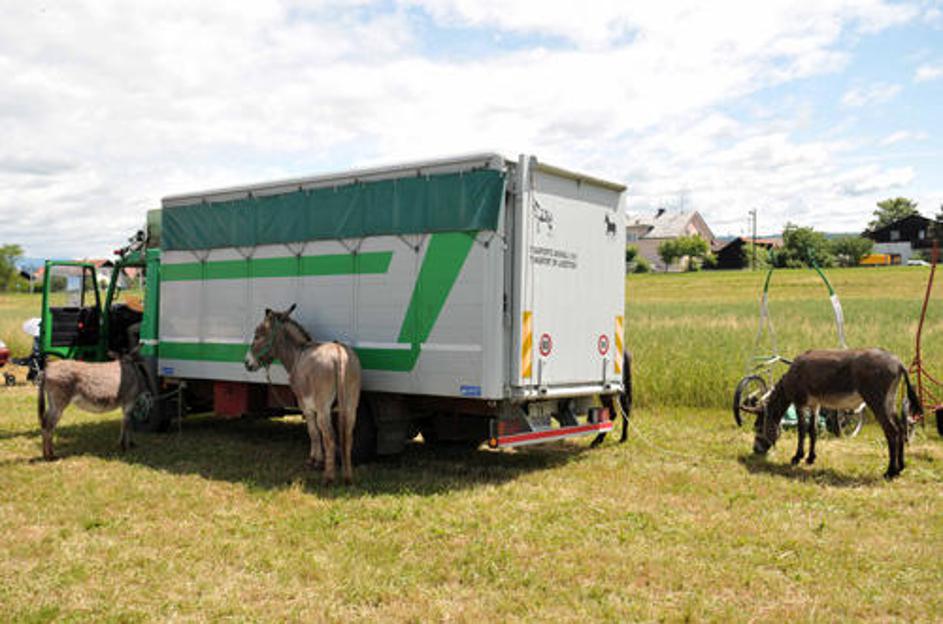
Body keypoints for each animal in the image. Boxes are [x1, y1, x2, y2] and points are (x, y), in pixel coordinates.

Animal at [244, 305, 362, 485]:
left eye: (258, 335)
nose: (246, 363)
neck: (297, 353)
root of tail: (339, 354)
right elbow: (316, 432)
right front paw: (317, 460)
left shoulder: (305, 404)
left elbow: (313, 431)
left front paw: (315, 461)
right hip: (351, 403)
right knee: (347, 437)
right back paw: (348, 477)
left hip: (323, 406)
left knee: (330, 437)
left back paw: (328, 478)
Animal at [753, 348, 921, 479]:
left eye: (758, 428)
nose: (756, 451)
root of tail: (898, 363)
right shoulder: (815, 404)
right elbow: (813, 430)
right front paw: (810, 458)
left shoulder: (800, 403)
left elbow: (802, 430)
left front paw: (797, 457)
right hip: (889, 401)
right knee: (901, 428)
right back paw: (900, 468)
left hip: (877, 401)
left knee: (892, 432)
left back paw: (890, 472)